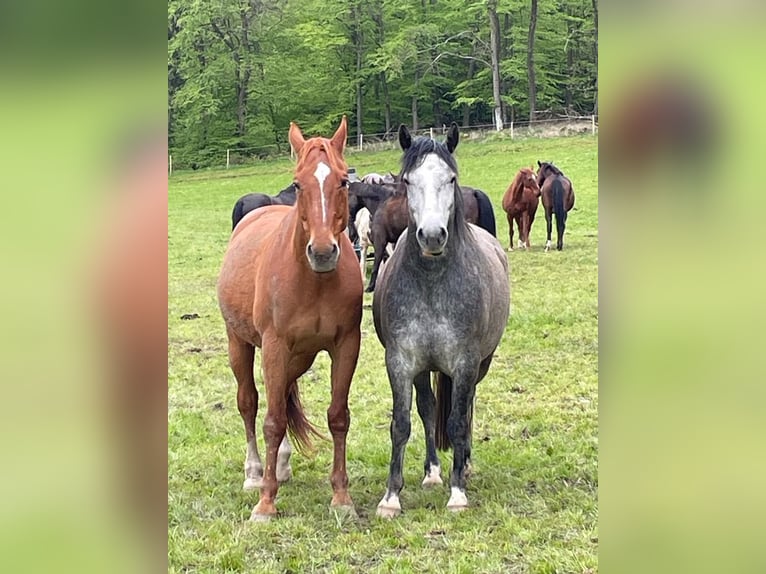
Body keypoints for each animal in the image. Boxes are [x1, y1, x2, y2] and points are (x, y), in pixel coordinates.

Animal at [218, 116, 364, 520]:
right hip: (240, 344)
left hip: (299, 356)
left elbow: (337, 416)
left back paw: (280, 465)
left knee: (282, 396)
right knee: (250, 402)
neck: (313, 281)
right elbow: (271, 421)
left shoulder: (346, 344)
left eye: (343, 180)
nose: (323, 252)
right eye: (298, 184)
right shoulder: (274, 346)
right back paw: (255, 473)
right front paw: (266, 503)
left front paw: (341, 497)